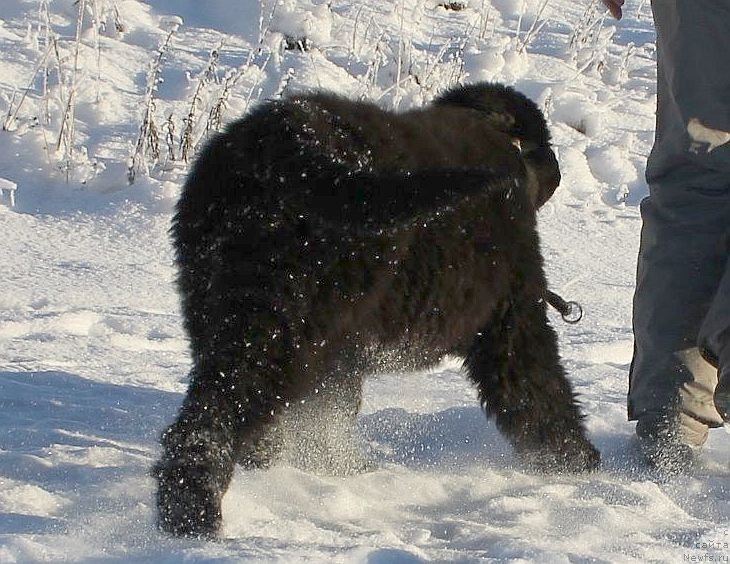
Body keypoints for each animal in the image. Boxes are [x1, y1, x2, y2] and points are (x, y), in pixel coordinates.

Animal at [154, 81, 596, 536]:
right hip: (286, 322)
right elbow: (539, 391)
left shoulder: (343, 355)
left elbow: (329, 415)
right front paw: (575, 462)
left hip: (221, 305)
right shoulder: (513, 317)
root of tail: (286, 146)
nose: (557, 172)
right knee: (210, 422)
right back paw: (194, 514)